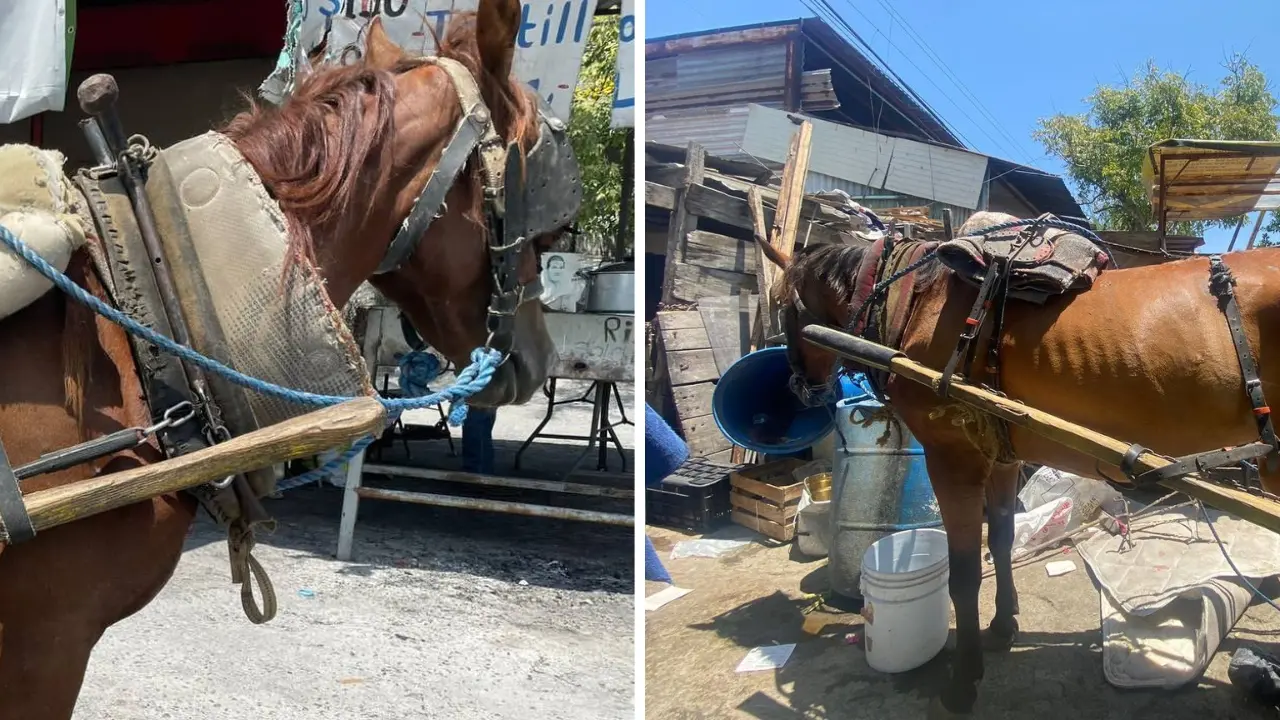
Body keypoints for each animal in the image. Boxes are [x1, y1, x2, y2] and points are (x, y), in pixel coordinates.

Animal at [764, 210, 1280, 718]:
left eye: (781, 304)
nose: (797, 386)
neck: (918, 299)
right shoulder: (1000, 453)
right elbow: (1002, 539)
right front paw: (1002, 625)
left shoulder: (952, 457)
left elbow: (965, 572)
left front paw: (963, 680)